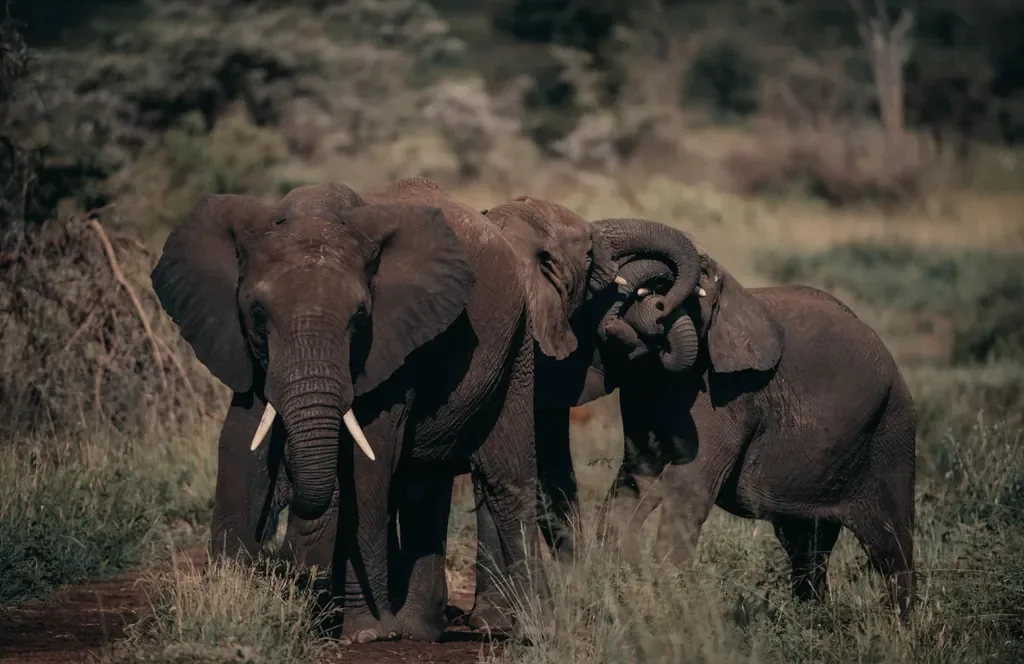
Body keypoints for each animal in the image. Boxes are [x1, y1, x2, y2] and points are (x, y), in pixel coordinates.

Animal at [150, 178, 704, 643]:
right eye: (258, 315)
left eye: (360, 317)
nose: (653, 304)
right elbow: (240, 441)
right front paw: (231, 605)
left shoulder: (407, 342)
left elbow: (369, 459)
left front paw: (363, 633)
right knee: (426, 486)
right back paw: (421, 630)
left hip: (510, 353)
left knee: (502, 478)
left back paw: (519, 628)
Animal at [595, 239, 917, 619]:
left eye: (701, 283)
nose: (656, 301)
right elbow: (637, 476)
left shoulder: (729, 394)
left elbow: (689, 484)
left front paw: (671, 610)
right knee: (807, 545)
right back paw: (812, 619)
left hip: (890, 430)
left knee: (890, 544)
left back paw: (902, 623)